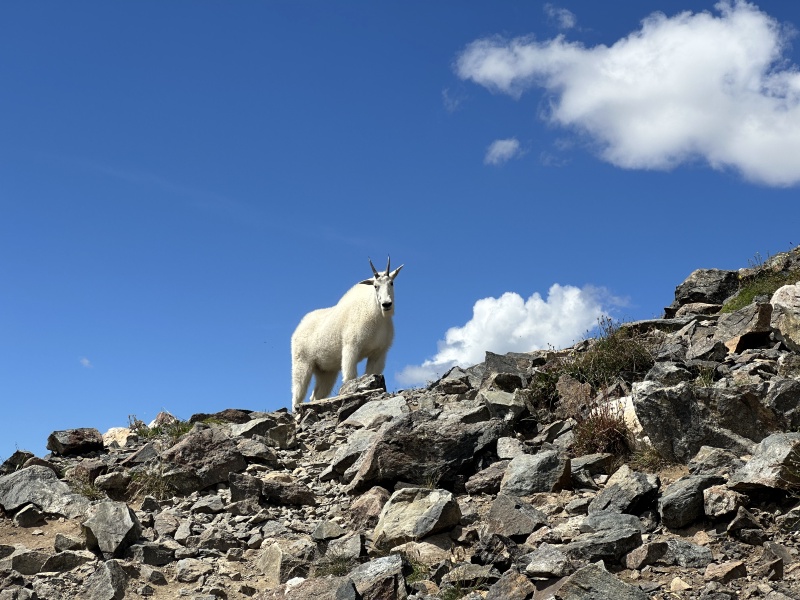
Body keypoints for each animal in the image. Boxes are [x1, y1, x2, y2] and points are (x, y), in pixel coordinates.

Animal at [291, 257, 404, 411]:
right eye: (375, 286)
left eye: (391, 282)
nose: (386, 304)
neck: (377, 316)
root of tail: (298, 329)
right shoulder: (351, 347)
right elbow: (350, 376)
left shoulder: (379, 353)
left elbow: (371, 373)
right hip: (302, 363)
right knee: (297, 394)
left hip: (326, 371)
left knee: (316, 395)